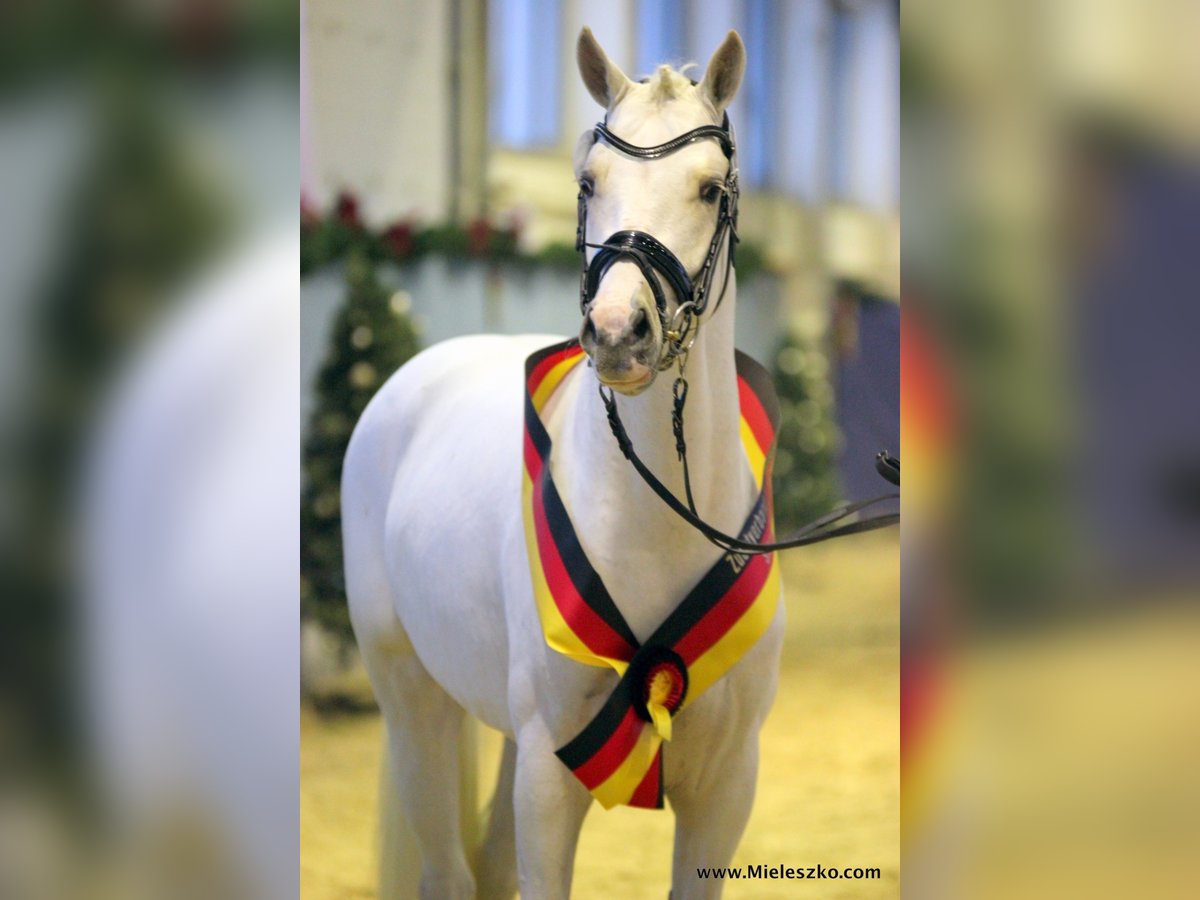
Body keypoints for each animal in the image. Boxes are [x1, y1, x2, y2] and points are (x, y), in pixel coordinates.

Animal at [343, 29, 784, 899]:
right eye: (588, 182)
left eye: (709, 189)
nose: (617, 333)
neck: (655, 526)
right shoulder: (551, 780)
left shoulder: (728, 787)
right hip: (412, 700)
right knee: (447, 868)